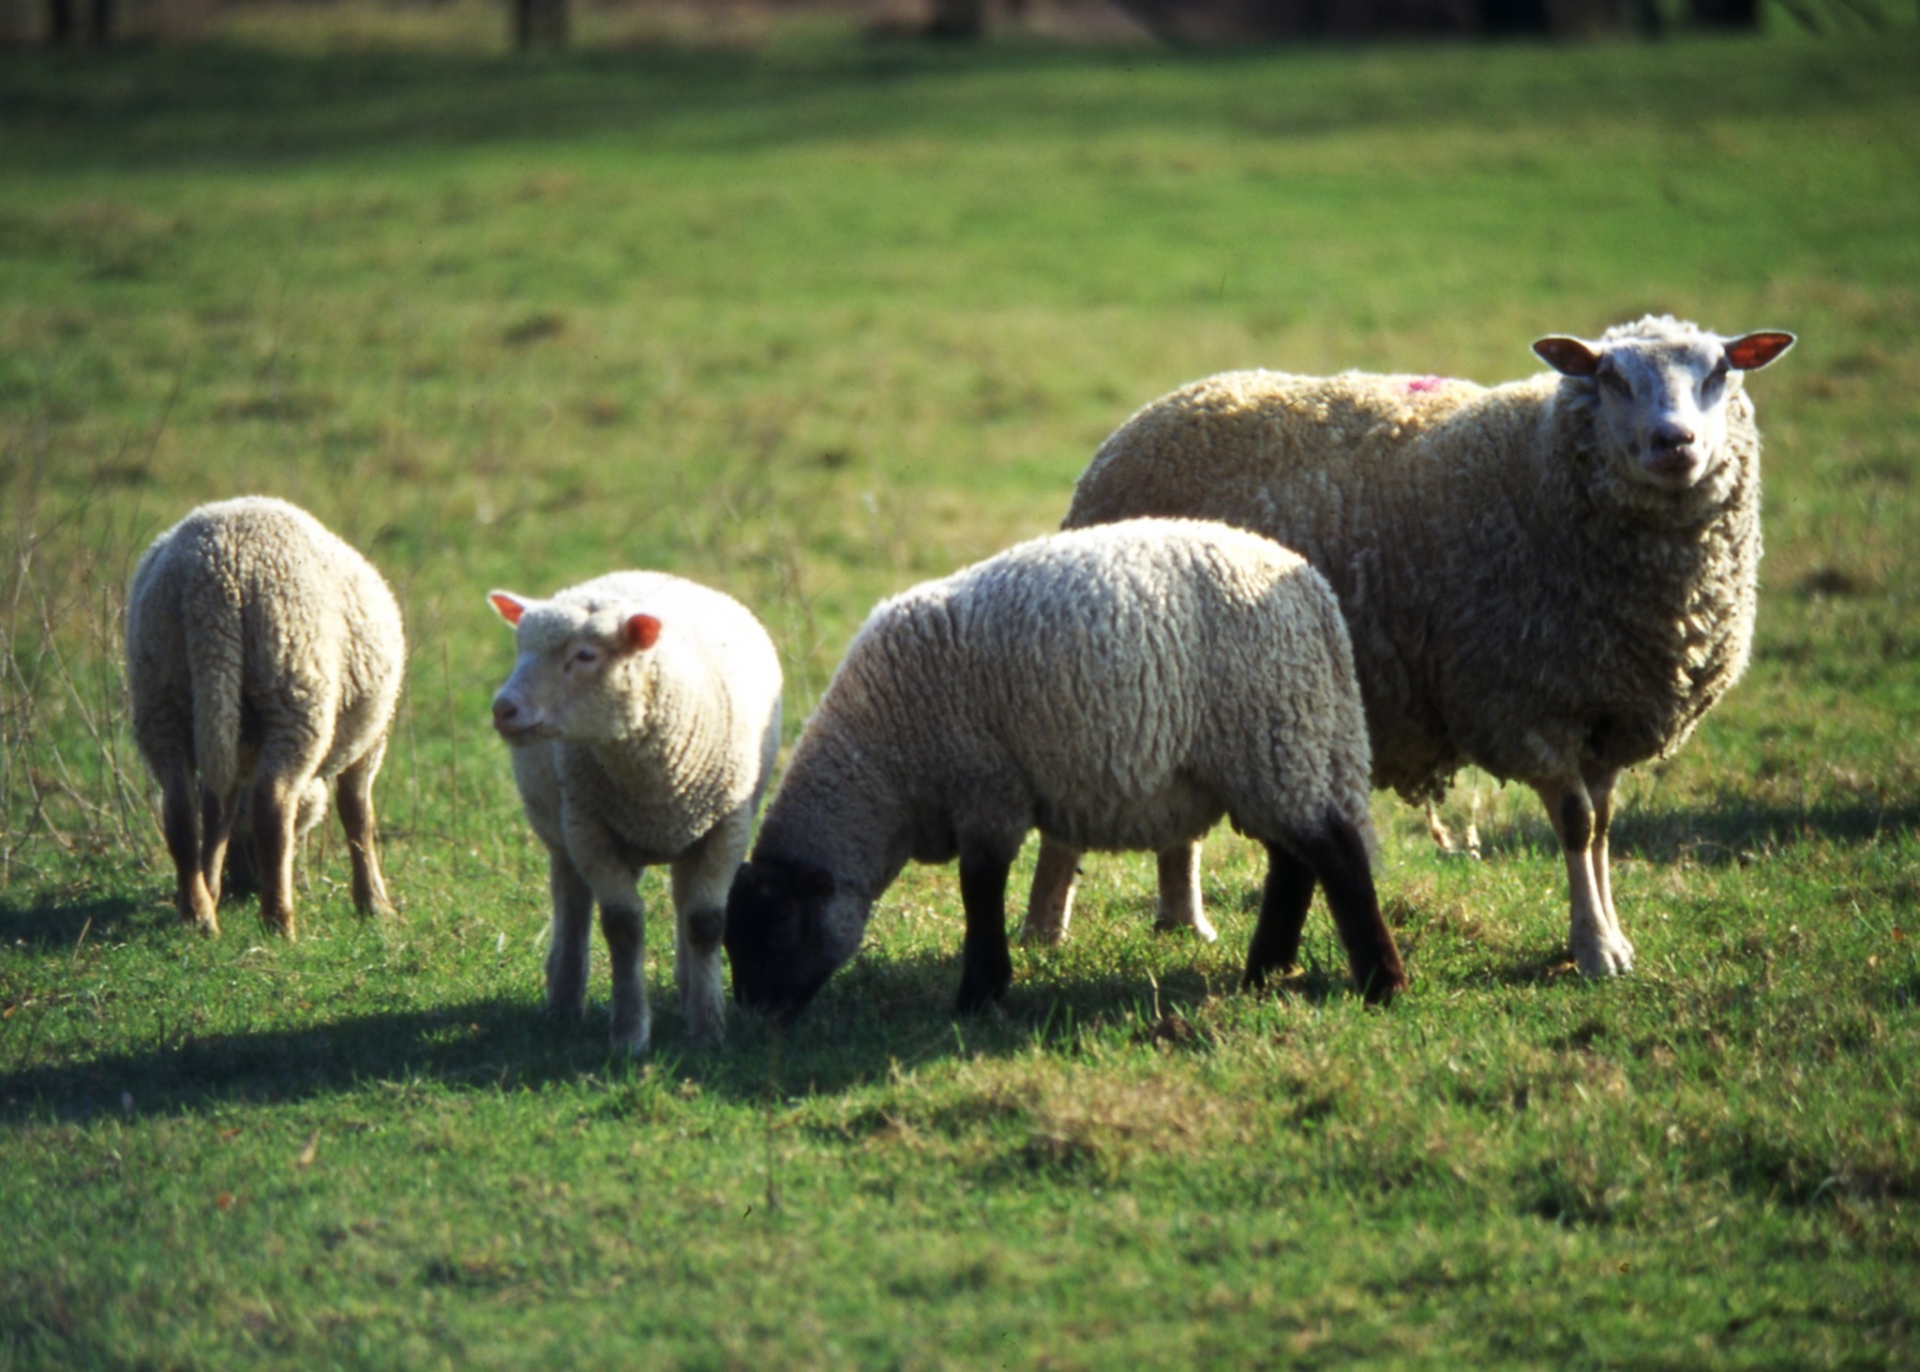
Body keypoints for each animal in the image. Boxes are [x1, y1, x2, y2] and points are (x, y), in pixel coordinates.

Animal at [124, 495, 408, 944]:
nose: (244, 884)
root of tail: (213, 581)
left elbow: (217, 813)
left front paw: (212, 883)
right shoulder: (369, 739)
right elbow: (357, 814)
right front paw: (374, 904)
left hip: (162, 691)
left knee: (181, 809)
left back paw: (198, 913)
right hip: (293, 689)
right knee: (272, 805)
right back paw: (278, 921)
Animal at [491, 567, 783, 1051]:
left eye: (585, 655)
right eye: (519, 648)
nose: (503, 709)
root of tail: (637, 574)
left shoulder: (727, 826)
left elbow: (705, 923)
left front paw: (708, 1029)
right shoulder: (589, 830)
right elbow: (622, 926)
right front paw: (629, 1034)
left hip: (689, 829)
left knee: (684, 903)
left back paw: (687, 990)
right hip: (561, 831)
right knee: (572, 900)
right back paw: (564, 1001)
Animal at [721, 521, 1413, 1028]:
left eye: (775, 931)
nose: (757, 1017)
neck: (885, 769)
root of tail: (1314, 596)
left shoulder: (986, 787)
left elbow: (980, 888)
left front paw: (979, 994)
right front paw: (985, 989)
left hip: (1271, 736)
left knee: (1336, 853)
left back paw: (1382, 984)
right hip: (1278, 751)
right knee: (1295, 861)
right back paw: (1266, 971)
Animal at [1029, 314, 1789, 978]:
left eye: (1720, 371)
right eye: (1610, 377)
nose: (1675, 442)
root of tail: (1145, 420)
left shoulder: (1607, 710)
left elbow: (1600, 828)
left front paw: (1612, 937)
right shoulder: (1523, 704)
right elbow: (1575, 827)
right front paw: (1594, 950)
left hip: (1184, 684)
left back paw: (1184, 920)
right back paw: (1046, 930)